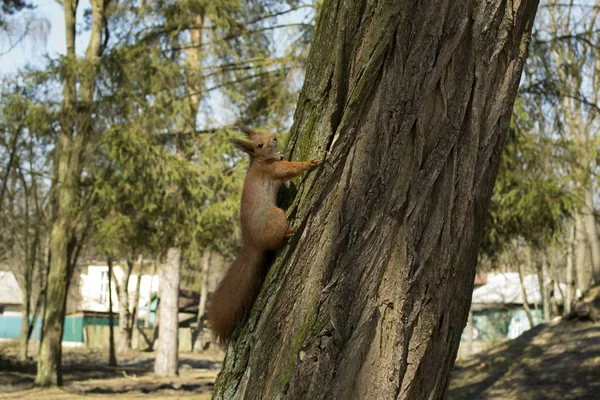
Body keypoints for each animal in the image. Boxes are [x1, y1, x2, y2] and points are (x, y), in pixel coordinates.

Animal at [206, 126, 318, 342]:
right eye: (258, 144)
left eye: (265, 131)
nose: (274, 138)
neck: (259, 161)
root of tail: (253, 243)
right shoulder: (272, 171)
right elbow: (290, 169)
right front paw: (310, 163)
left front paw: (281, 153)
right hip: (276, 216)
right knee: (275, 241)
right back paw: (287, 233)